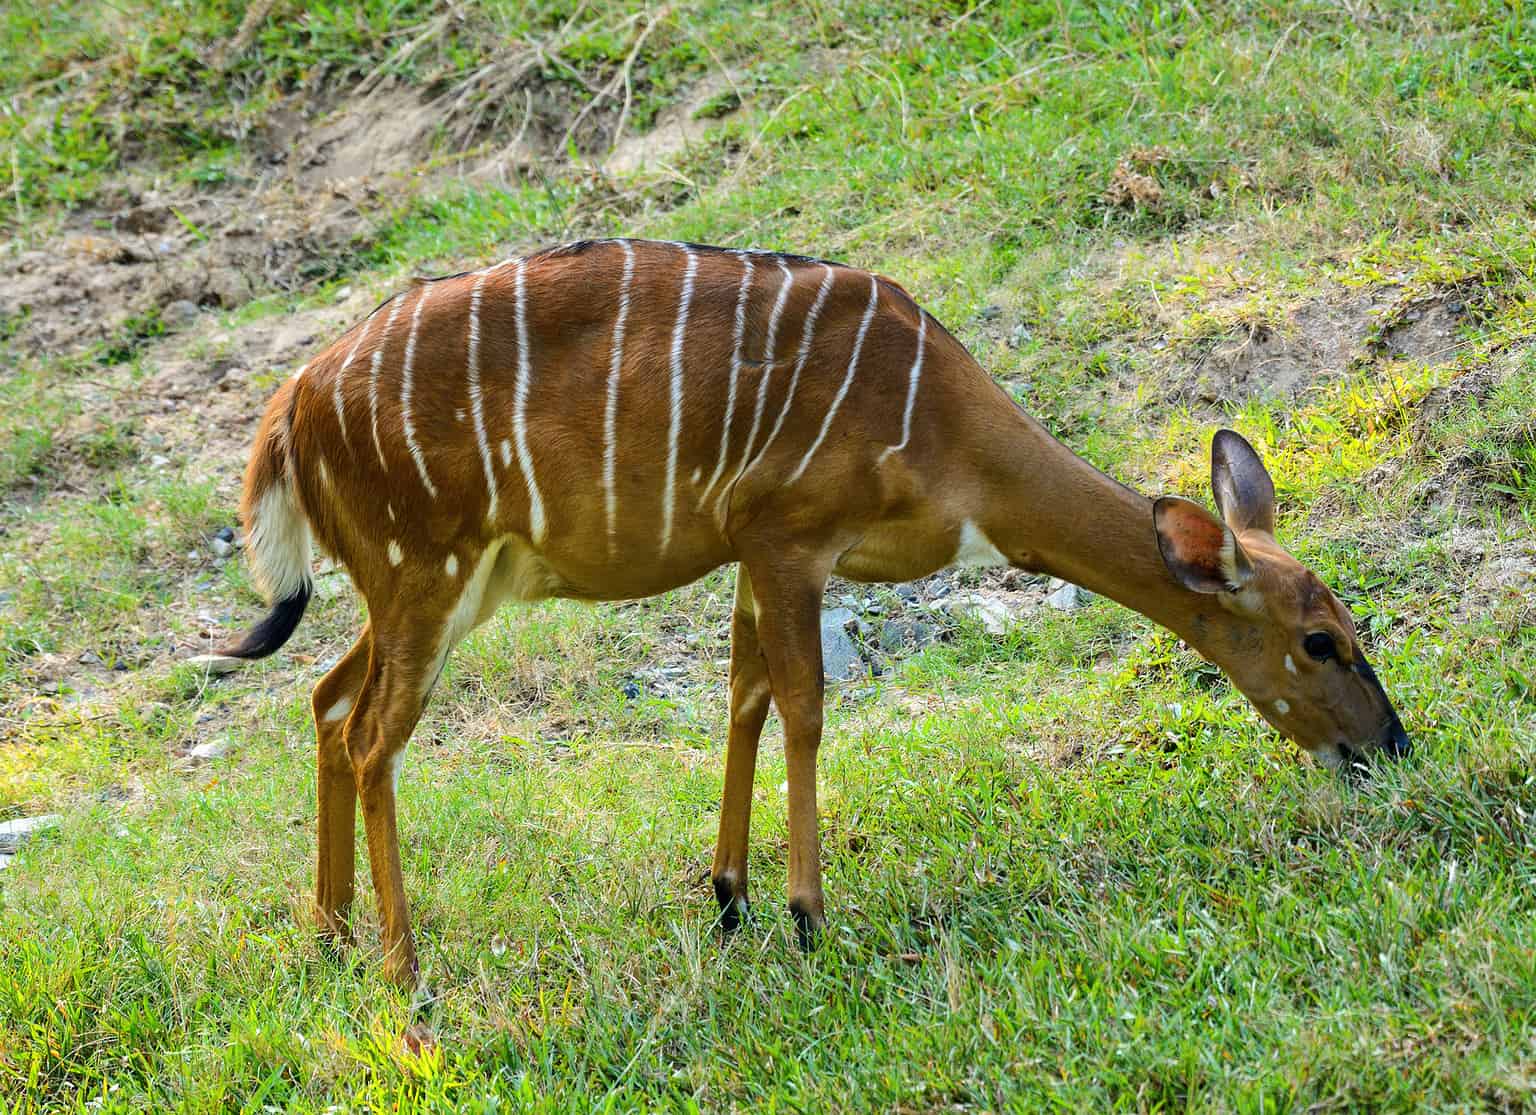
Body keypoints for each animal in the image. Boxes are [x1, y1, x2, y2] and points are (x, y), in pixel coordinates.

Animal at [208, 238, 1411, 987]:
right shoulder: (788, 538)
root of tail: (290, 407)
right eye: (1321, 641)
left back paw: (329, 936)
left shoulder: (750, 550)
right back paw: (405, 971)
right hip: (426, 572)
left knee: (326, 702)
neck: (949, 439)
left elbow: (741, 696)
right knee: (374, 736)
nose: (1393, 746)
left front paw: (730, 899)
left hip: (437, 584)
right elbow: (801, 707)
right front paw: (805, 915)